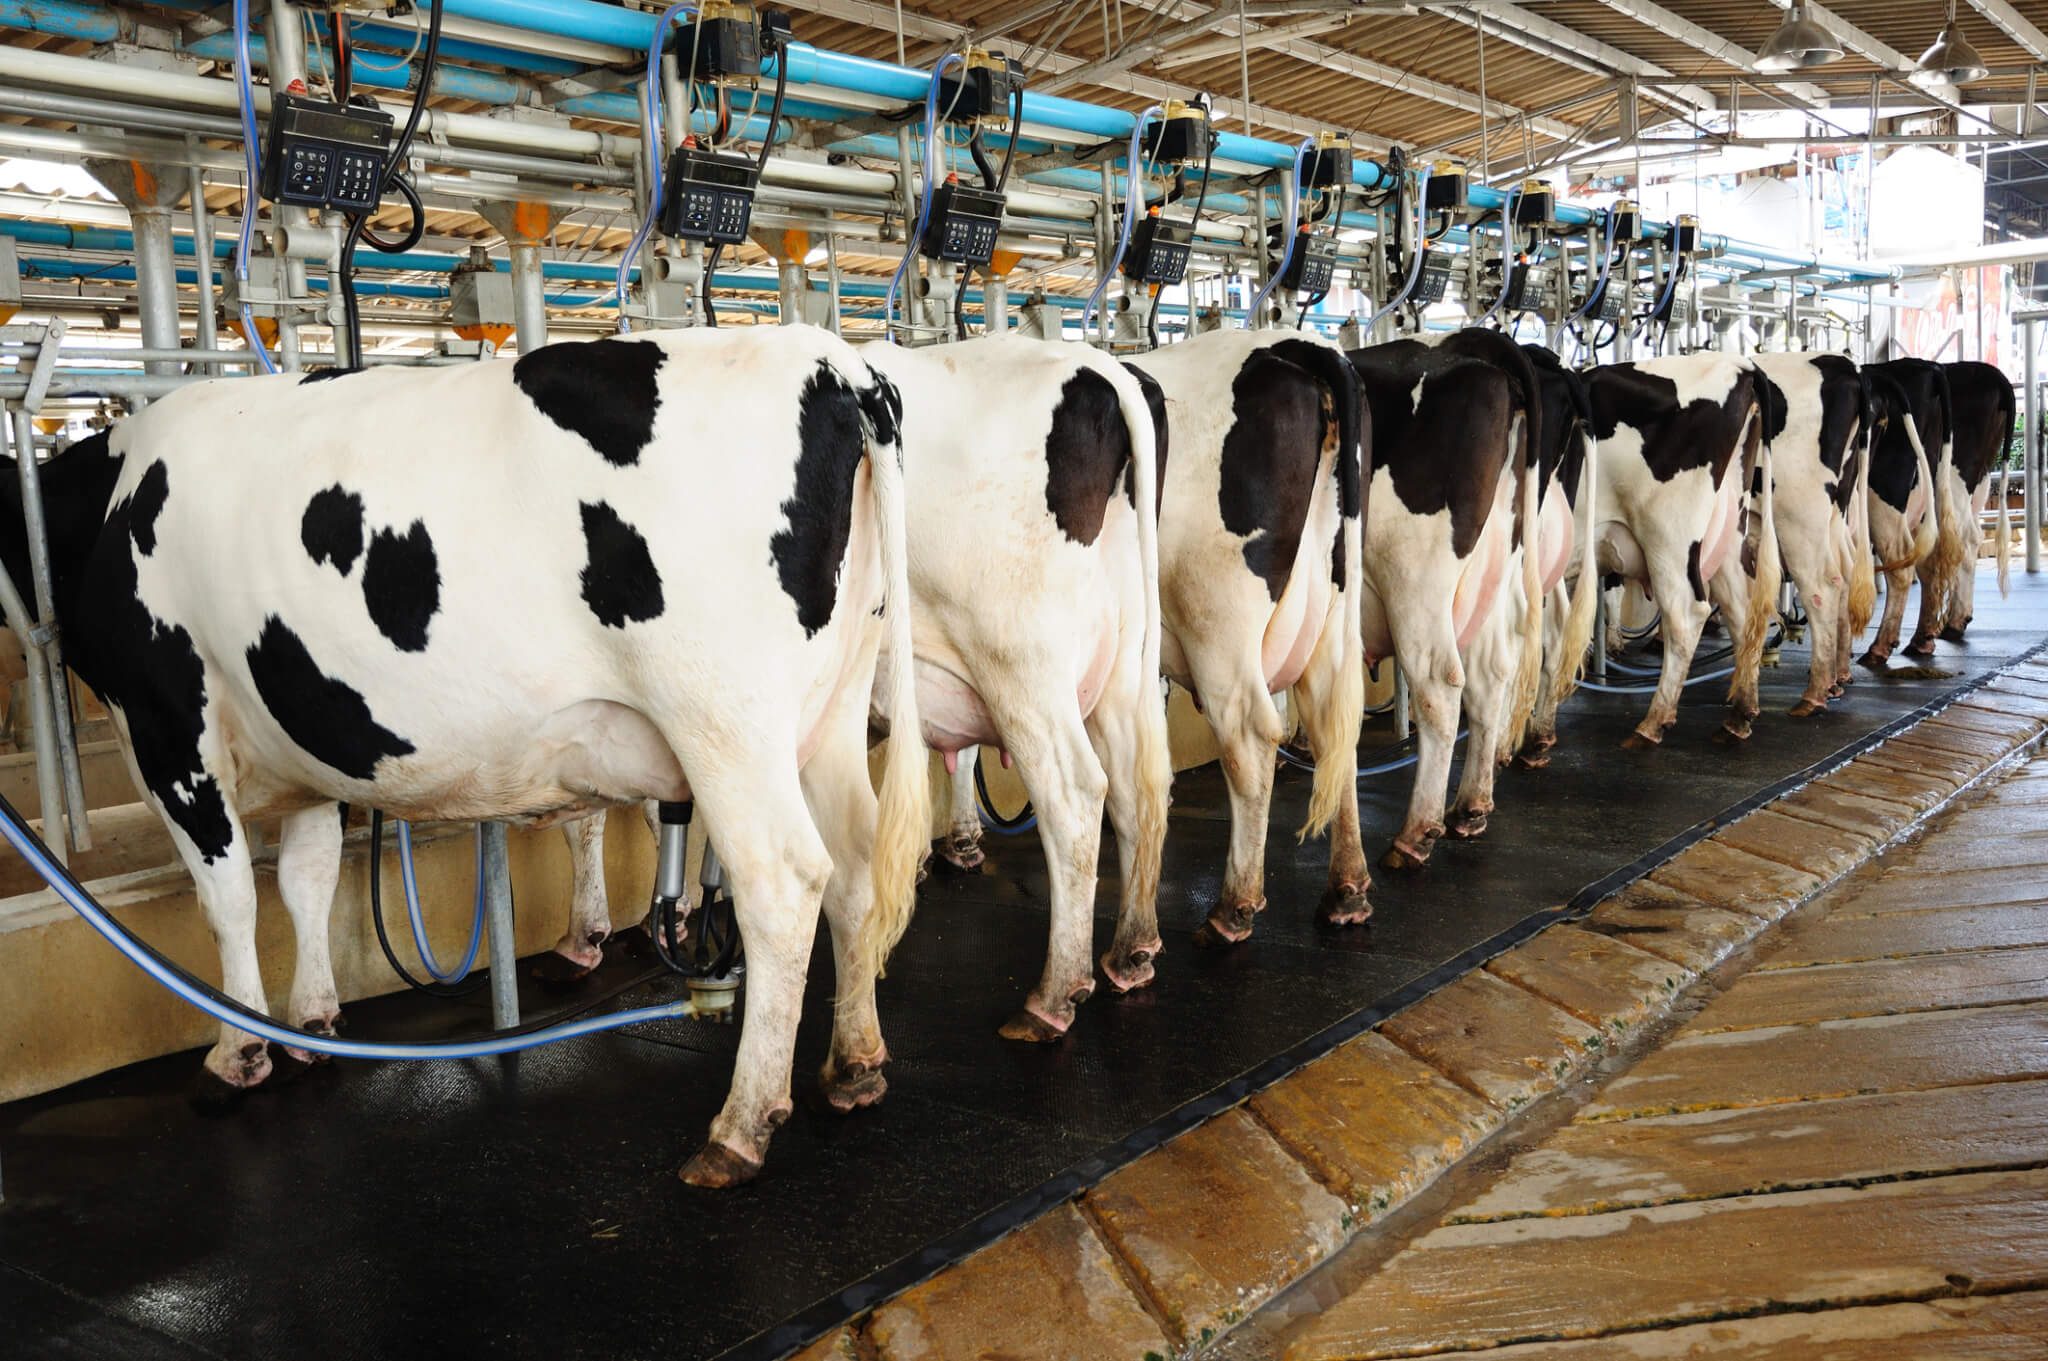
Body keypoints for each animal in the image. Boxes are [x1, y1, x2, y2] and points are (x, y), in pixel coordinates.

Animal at [0, 327, 929, 1178]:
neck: (108, 502)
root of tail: (831, 358)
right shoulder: (306, 741)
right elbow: (306, 881)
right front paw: (312, 1023)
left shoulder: (168, 731)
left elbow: (228, 900)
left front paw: (237, 1054)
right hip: (832, 708)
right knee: (854, 863)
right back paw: (856, 1064)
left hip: (724, 717)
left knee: (784, 880)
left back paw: (739, 1126)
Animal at [1130, 329, 1368, 945]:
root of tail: (1295, 348)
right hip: (1330, 607)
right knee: (1336, 725)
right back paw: (1347, 890)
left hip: (1217, 619)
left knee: (1250, 739)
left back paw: (1232, 908)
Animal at [1581, 352, 1777, 744]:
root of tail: (1739, 365)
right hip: (1728, 532)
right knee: (1742, 608)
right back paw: (1740, 713)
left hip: (1668, 537)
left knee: (1686, 615)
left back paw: (1652, 723)